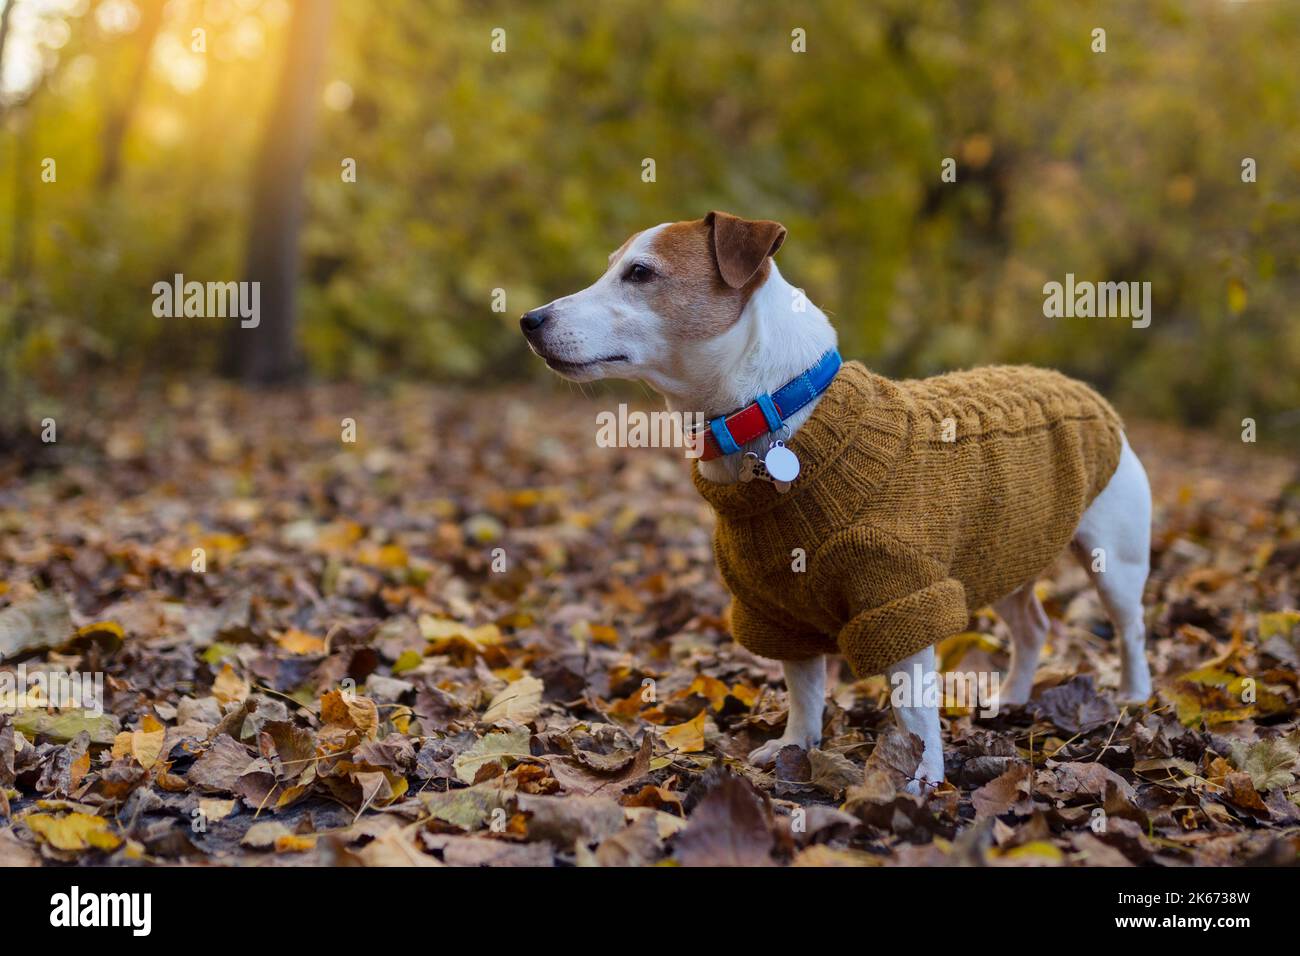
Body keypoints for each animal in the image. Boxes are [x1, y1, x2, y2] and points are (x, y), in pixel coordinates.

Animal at [517, 213, 1149, 790]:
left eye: (641, 273)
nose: (529, 319)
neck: (777, 411)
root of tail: (1079, 388)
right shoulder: (776, 606)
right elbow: (804, 688)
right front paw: (795, 746)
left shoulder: (900, 595)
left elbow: (912, 704)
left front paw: (918, 775)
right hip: (1007, 551)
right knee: (1033, 627)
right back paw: (1013, 698)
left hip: (1113, 563)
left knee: (1130, 628)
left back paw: (1134, 697)